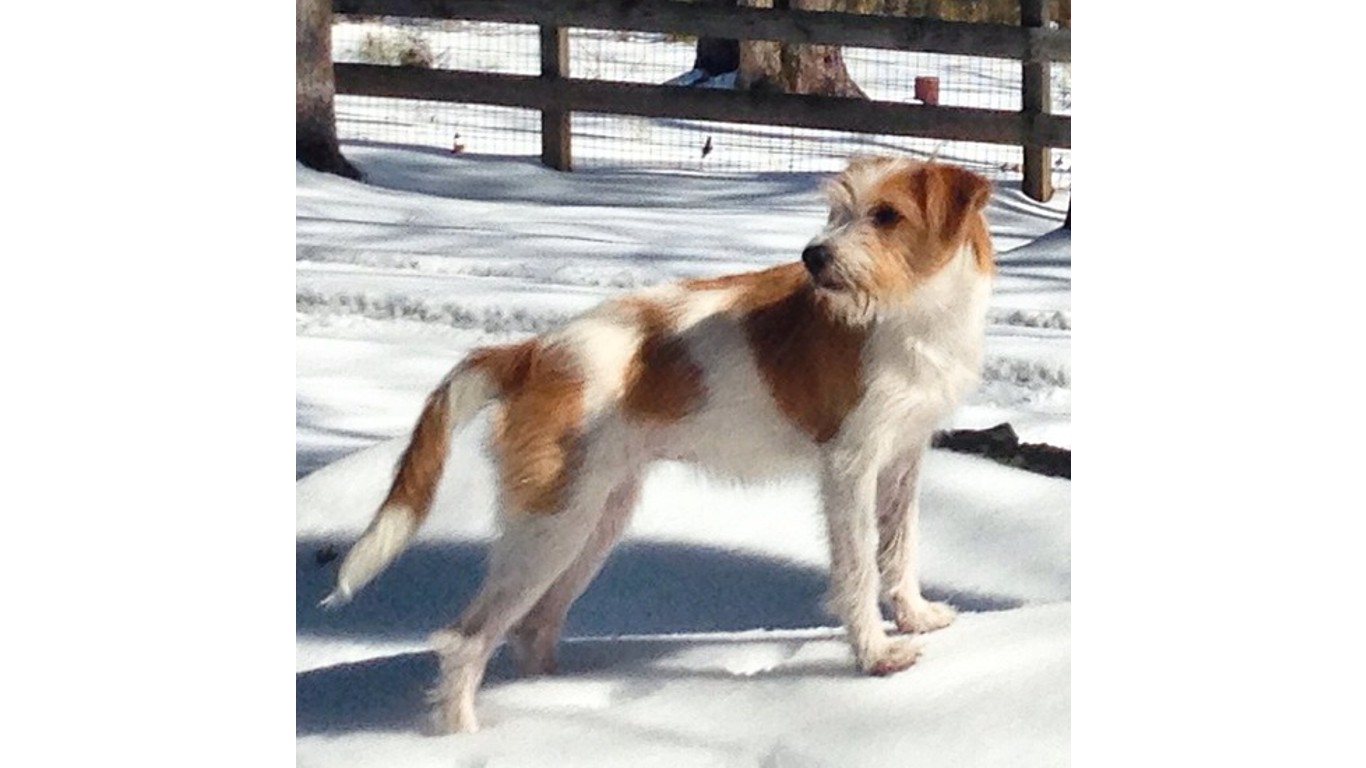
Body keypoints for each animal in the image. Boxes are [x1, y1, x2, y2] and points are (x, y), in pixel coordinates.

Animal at [325, 153, 999, 727]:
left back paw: (556, 699)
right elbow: (859, 568)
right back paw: (465, 736)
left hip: (594, 521)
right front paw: (876, 657)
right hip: (551, 528)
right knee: (465, 641)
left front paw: (915, 616)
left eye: (886, 215)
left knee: (532, 626)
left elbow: (899, 549)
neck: (910, 313)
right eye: (837, 210)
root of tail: (534, 350)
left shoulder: (902, 457)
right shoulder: (849, 468)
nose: (813, 256)